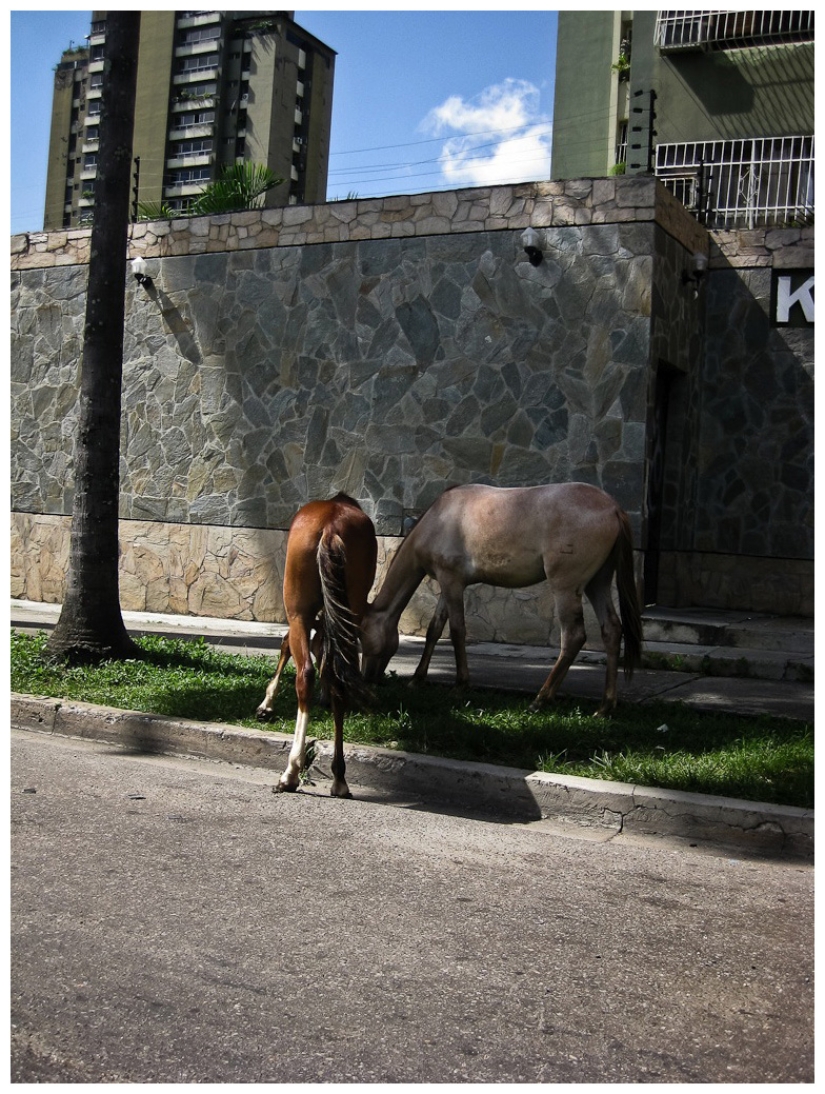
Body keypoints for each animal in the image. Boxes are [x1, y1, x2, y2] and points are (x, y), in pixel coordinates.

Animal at [256, 494, 378, 796]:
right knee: (338, 679)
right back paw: (339, 778)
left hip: (299, 610)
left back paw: (291, 772)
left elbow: (287, 645)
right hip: (351, 610)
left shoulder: (302, 616)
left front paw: (266, 704)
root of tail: (331, 526)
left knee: (305, 673)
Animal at [361, 485, 643, 717]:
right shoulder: (448, 583)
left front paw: (460, 685)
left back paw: (541, 699)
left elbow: (457, 631)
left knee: (573, 636)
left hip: (566, 586)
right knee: (611, 629)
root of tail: (613, 508)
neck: (439, 518)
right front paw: (417, 679)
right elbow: (434, 629)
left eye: (364, 638)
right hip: (598, 583)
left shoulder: (451, 582)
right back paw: (605, 706)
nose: (367, 678)